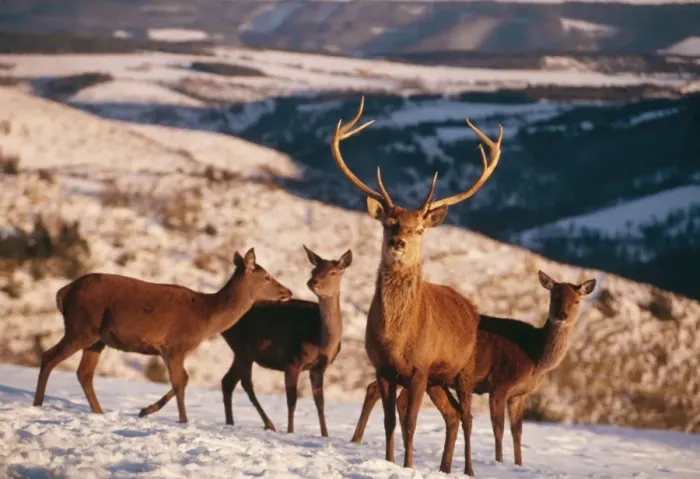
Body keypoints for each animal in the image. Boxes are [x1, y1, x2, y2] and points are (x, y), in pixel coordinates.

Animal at [32, 248, 293, 424]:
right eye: (267, 277)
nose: (288, 291)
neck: (207, 318)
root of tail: (63, 292)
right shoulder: (175, 345)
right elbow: (181, 381)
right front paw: (182, 420)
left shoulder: (173, 350)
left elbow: (183, 380)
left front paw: (145, 410)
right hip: (81, 326)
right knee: (49, 356)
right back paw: (37, 404)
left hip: (97, 339)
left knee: (84, 373)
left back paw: (99, 412)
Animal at [221, 245, 352, 437]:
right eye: (313, 270)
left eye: (333, 272)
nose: (312, 282)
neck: (321, 341)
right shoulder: (292, 361)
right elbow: (292, 401)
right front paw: (290, 432)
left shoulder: (319, 368)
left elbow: (320, 403)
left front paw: (325, 435)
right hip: (243, 349)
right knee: (242, 382)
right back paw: (267, 424)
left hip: (242, 352)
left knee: (228, 382)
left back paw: (232, 422)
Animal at [329, 96, 503, 476]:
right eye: (388, 223)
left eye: (419, 229)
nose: (399, 243)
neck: (397, 337)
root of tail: (471, 308)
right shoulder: (383, 367)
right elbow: (389, 421)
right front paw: (390, 462)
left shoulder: (420, 368)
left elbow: (410, 422)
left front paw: (407, 465)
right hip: (440, 380)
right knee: (452, 415)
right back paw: (445, 467)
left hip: (464, 369)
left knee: (467, 416)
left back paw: (468, 469)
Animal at [350, 270, 597, 467]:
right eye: (554, 297)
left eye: (577, 301)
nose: (561, 316)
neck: (534, 356)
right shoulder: (500, 384)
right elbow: (498, 428)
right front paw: (499, 462)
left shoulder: (520, 394)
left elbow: (517, 431)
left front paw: (518, 464)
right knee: (382, 393)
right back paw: (358, 440)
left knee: (380, 391)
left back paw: (360, 440)